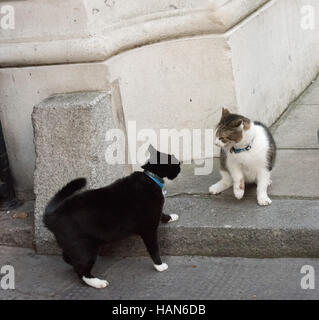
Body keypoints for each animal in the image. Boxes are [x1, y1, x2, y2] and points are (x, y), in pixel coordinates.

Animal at [43, 144, 181, 288]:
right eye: (174, 161)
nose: (181, 164)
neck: (151, 178)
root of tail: (52, 216)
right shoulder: (149, 229)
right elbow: (153, 248)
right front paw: (159, 265)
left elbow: (162, 214)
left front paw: (171, 217)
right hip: (84, 247)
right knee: (81, 269)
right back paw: (97, 282)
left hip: (73, 245)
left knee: (67, 257)